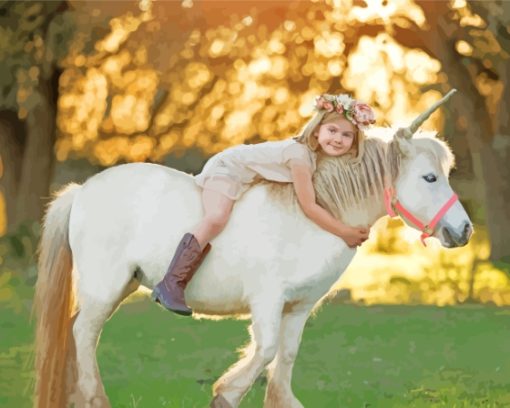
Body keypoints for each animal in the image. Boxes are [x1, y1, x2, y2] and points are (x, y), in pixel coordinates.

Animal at [33, 92, 474, 408]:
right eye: (430, 178)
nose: (464, 230)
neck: (311, 217)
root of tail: (82, 191)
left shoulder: (297, 308)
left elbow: (286, 356)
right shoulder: (267, 301)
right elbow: (265, 351)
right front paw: (225, 395)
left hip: (120, 286)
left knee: (74, 331)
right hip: (105, 289)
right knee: (83, 333)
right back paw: (94, 399)